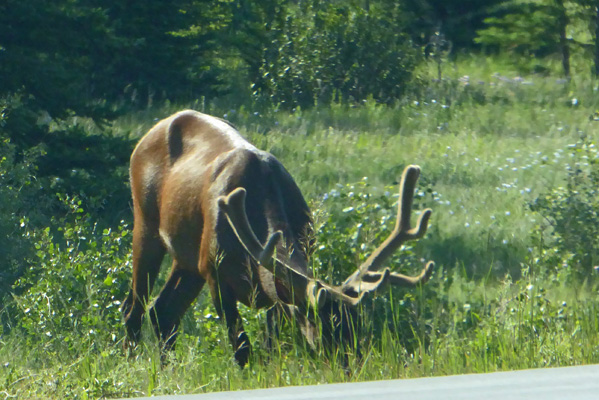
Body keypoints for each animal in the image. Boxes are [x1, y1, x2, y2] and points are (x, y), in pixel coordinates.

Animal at [122, 109, 434, 366]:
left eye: (358, 325)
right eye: (323, 326)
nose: (352, 364)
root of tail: (145, 138)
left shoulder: (274, 292)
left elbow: (272, 348)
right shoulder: (214, 270)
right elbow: (242, 349)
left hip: (187, 258)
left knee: (162, 311)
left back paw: (167, 367)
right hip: (146, 221)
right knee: (134, 307)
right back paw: (132, 363)